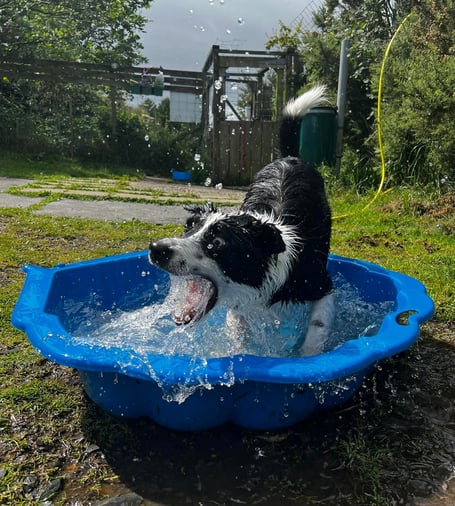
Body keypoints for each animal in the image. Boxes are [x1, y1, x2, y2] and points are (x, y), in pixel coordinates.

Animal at [149, 85, 334, 356]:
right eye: (189, 226)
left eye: (216, 243)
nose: (156, 249)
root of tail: (290, 157)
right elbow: (238, 328)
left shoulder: (322, 283)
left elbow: (317, 328)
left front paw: (305, 357)